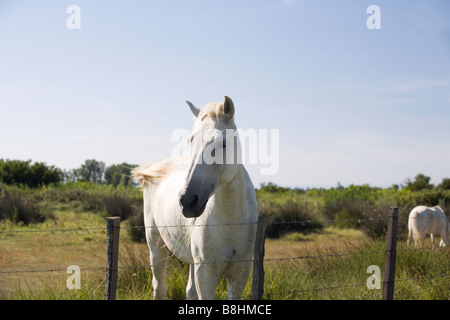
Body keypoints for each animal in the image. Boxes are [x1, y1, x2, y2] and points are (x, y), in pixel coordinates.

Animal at [131, 95, 256, 300]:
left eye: (223, 143)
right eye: (191, 140)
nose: (187, 201)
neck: (229, 221)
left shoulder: (240, 273)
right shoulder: (205, 273)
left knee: (189, 290)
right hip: (156, 247)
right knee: (159, 286)